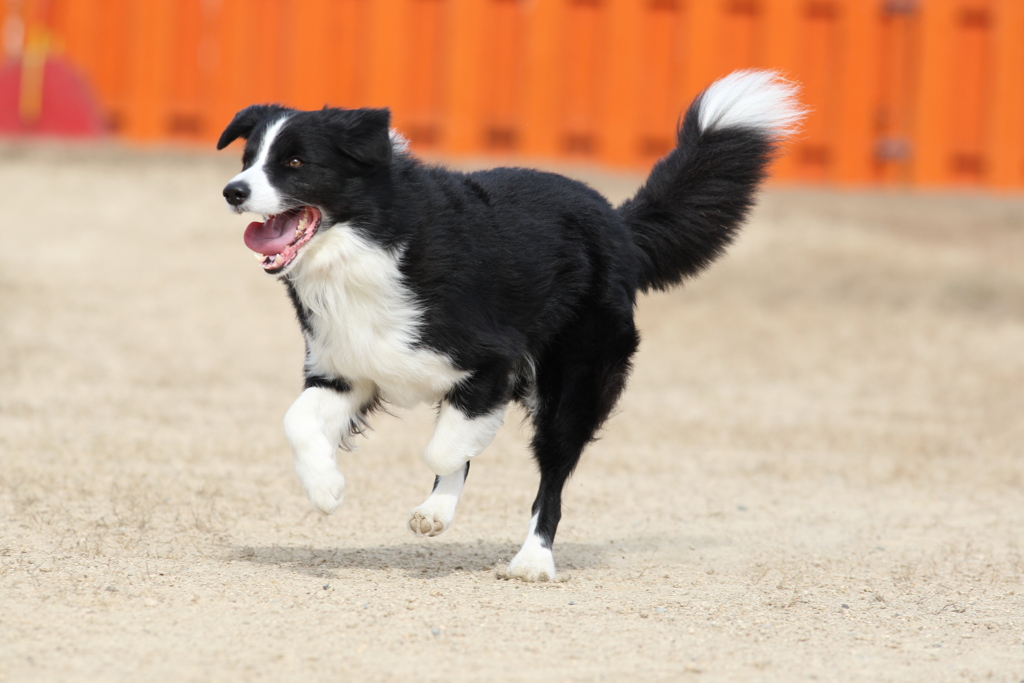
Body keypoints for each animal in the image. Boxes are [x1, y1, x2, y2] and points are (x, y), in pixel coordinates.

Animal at [220, 69, 802, 581]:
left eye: (295, 162)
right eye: (249, 159)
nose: (233, 191)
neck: (369, 243)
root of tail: (617, 222)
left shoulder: (492, 362)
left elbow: (444, 446)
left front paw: (430, 489)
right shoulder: (347, 368)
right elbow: (296, 421)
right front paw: (327, 489)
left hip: (574, 384)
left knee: (553, 477)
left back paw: (532, 561)